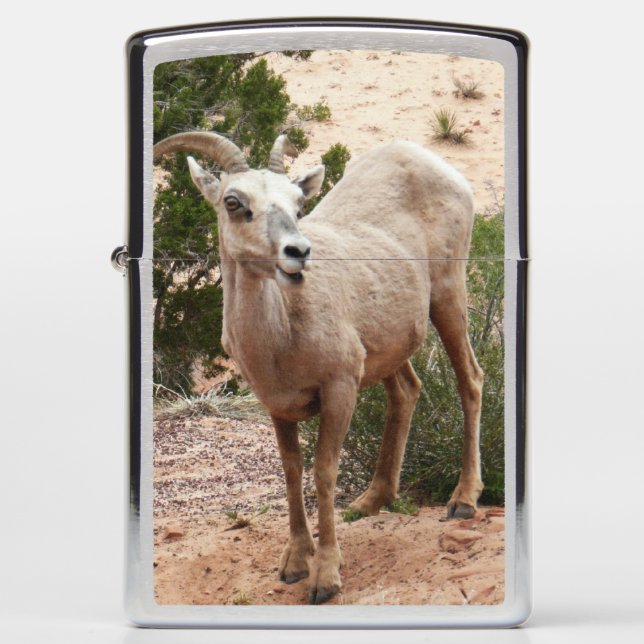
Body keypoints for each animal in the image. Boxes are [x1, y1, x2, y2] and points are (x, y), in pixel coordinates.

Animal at [153, 132, 484, 605]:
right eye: (234, 202)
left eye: (297, 205)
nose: (298, 253)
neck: (280, 336)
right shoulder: (277, 405)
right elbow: (292, 472)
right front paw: (294, 563)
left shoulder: (339, 388)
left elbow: (324, 472)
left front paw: (325, 577)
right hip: (390, 346)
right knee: (407, 391)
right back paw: (369, 503)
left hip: (448, 296)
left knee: (470, 380)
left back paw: (463, 500)